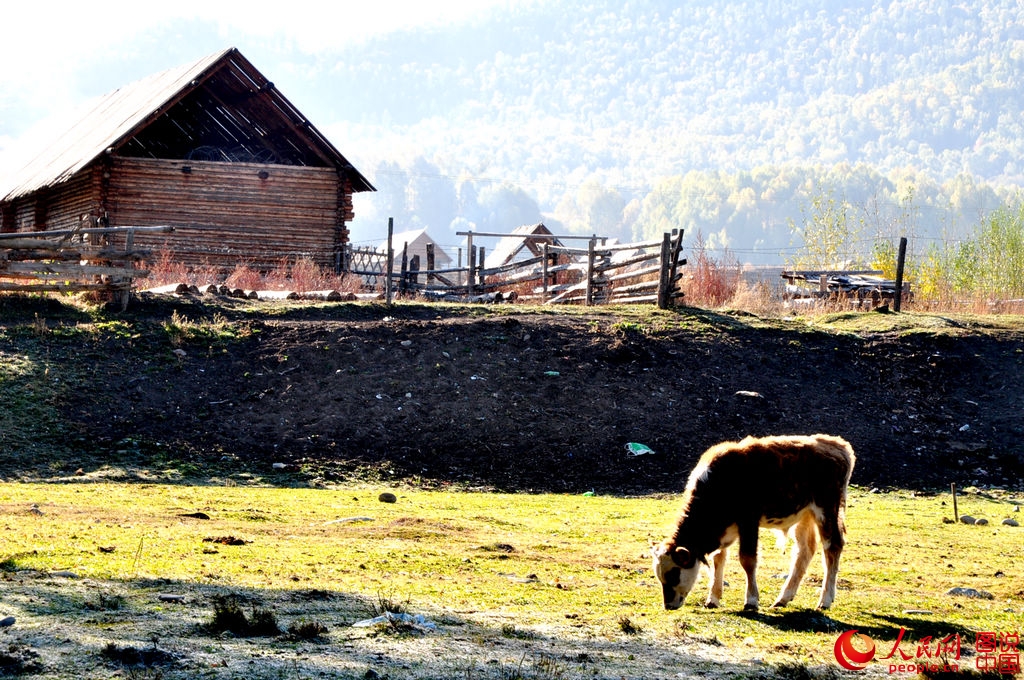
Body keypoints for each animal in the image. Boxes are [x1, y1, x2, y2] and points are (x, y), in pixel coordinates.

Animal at [651, 432, 851, 614]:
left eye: (674, 574)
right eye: (659, 576)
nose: (668, 605)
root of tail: (837, 444)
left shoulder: (748, 521)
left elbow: (747, 559)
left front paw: (751, 601)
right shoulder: (725, 530)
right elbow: (718, 559)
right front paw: (713, 599)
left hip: (827, 509)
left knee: (832, 547)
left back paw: (825, 600)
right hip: (804, 515)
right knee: (805, 550)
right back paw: (783, 599)